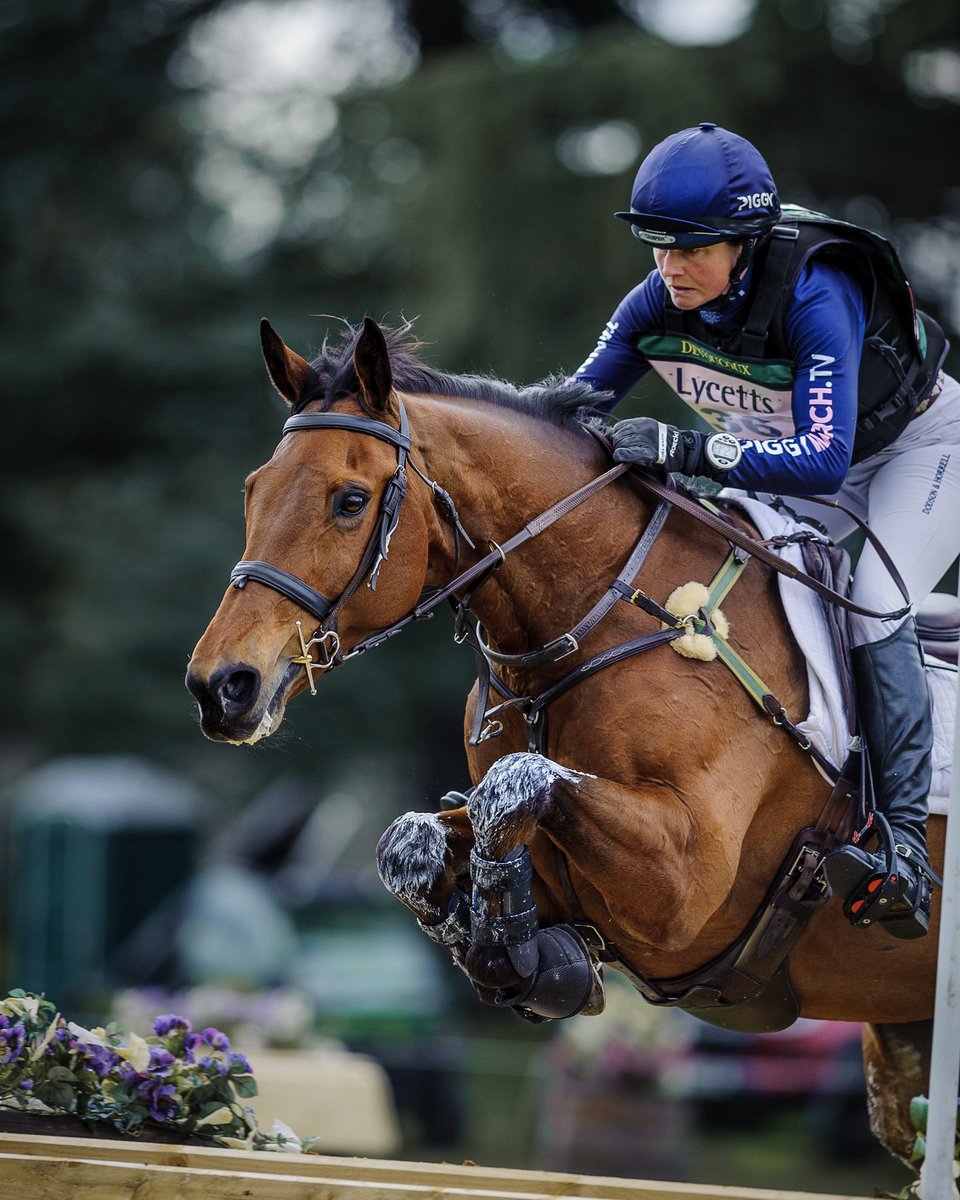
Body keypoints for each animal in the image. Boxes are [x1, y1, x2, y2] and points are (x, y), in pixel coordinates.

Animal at [186, 316, 952, 1169]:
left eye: (350, 501)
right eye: (253, 491)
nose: (222, 686)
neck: (594, 622)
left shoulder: (686, 881)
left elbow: (516, 783)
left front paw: (515, 949)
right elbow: (414, 838)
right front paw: (518, 952)